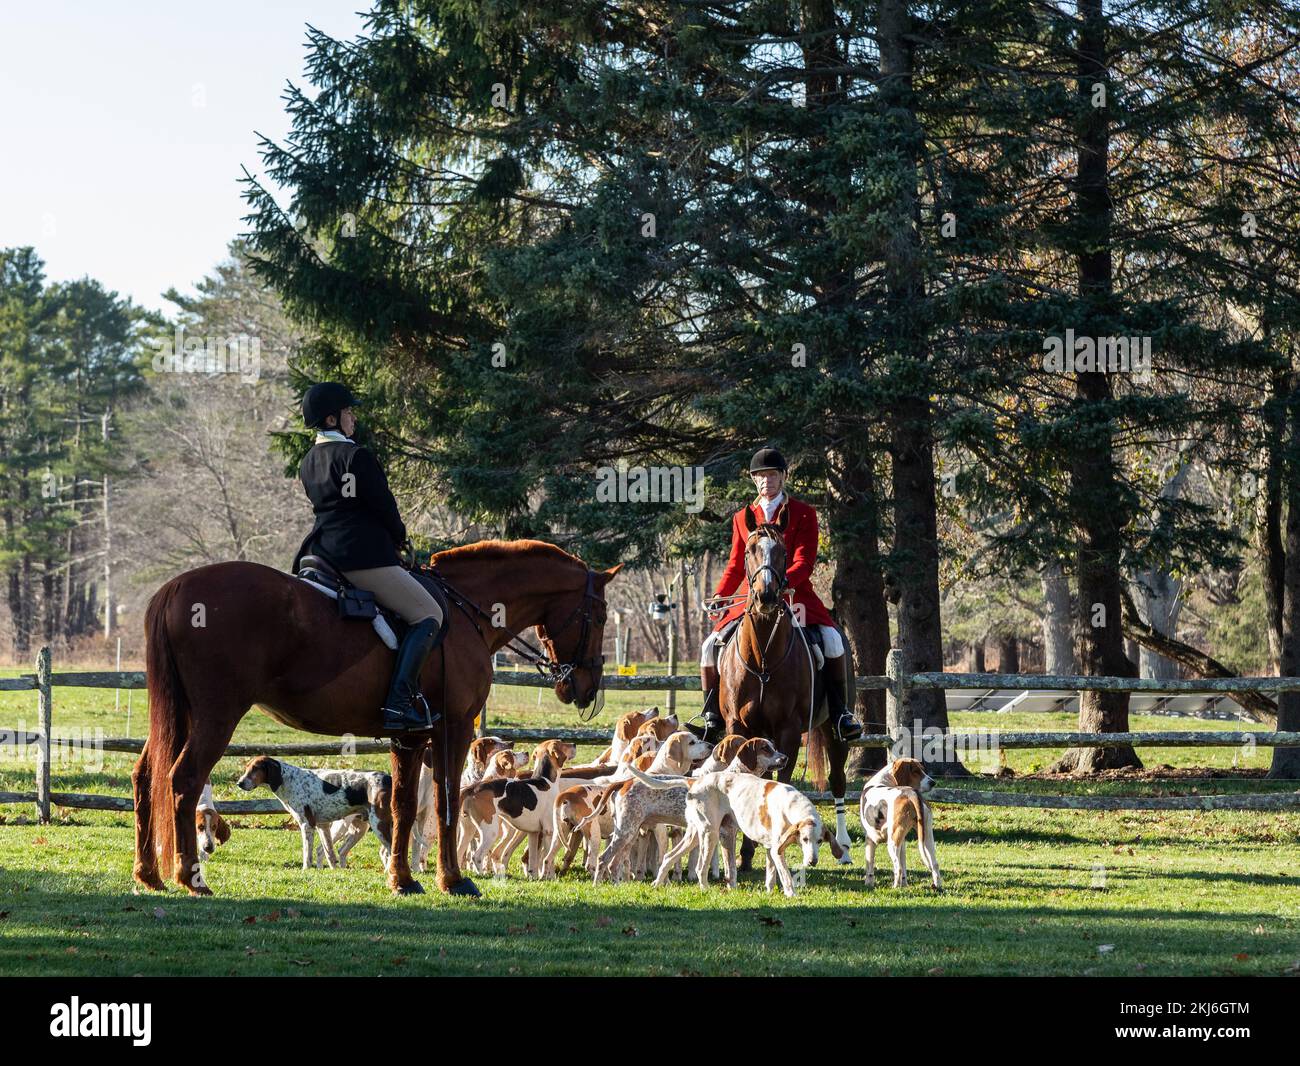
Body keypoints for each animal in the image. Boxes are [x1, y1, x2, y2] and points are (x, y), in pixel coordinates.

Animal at [131, 538, 618, 894]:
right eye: (599, 616)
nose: (584, 687)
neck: (467, 612)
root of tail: (177, 588)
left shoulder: (410, 735)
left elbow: (401, 804)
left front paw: (402, 879)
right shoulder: (453, 727)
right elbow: (445, 800)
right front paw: (452, 880)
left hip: (183, 714)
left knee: (146, 776)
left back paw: (149, 875)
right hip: (217, 714)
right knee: (183, 779)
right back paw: (190, 878)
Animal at [712, 506, 852, 868]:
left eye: (784, 552)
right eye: (749, 550)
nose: (766, 595)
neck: (763, 656)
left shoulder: (788, 732)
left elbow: (782, 784)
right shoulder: (738, 727)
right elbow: (750, 778)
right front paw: (746, 854)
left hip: (835, 730)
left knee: (838, 780)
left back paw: (844, 847)